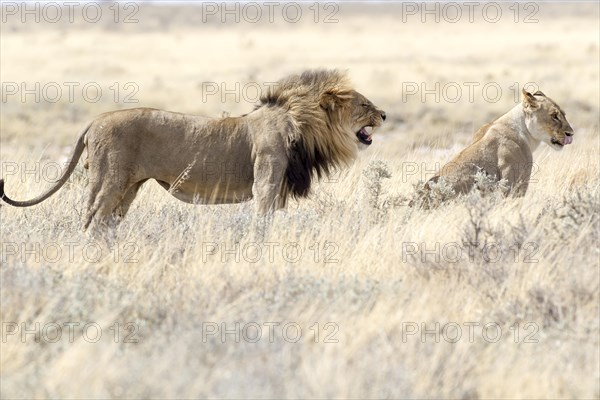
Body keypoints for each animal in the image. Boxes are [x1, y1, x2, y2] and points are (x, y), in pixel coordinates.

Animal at [1, 70, 384, 227]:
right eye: (365, 105)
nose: (384, 114)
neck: (303, 124)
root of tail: (96, 119)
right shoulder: (266, 183)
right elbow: (262, 223)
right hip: (109, 178)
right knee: (93, 218)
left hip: (129, 186)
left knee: (107, 222)